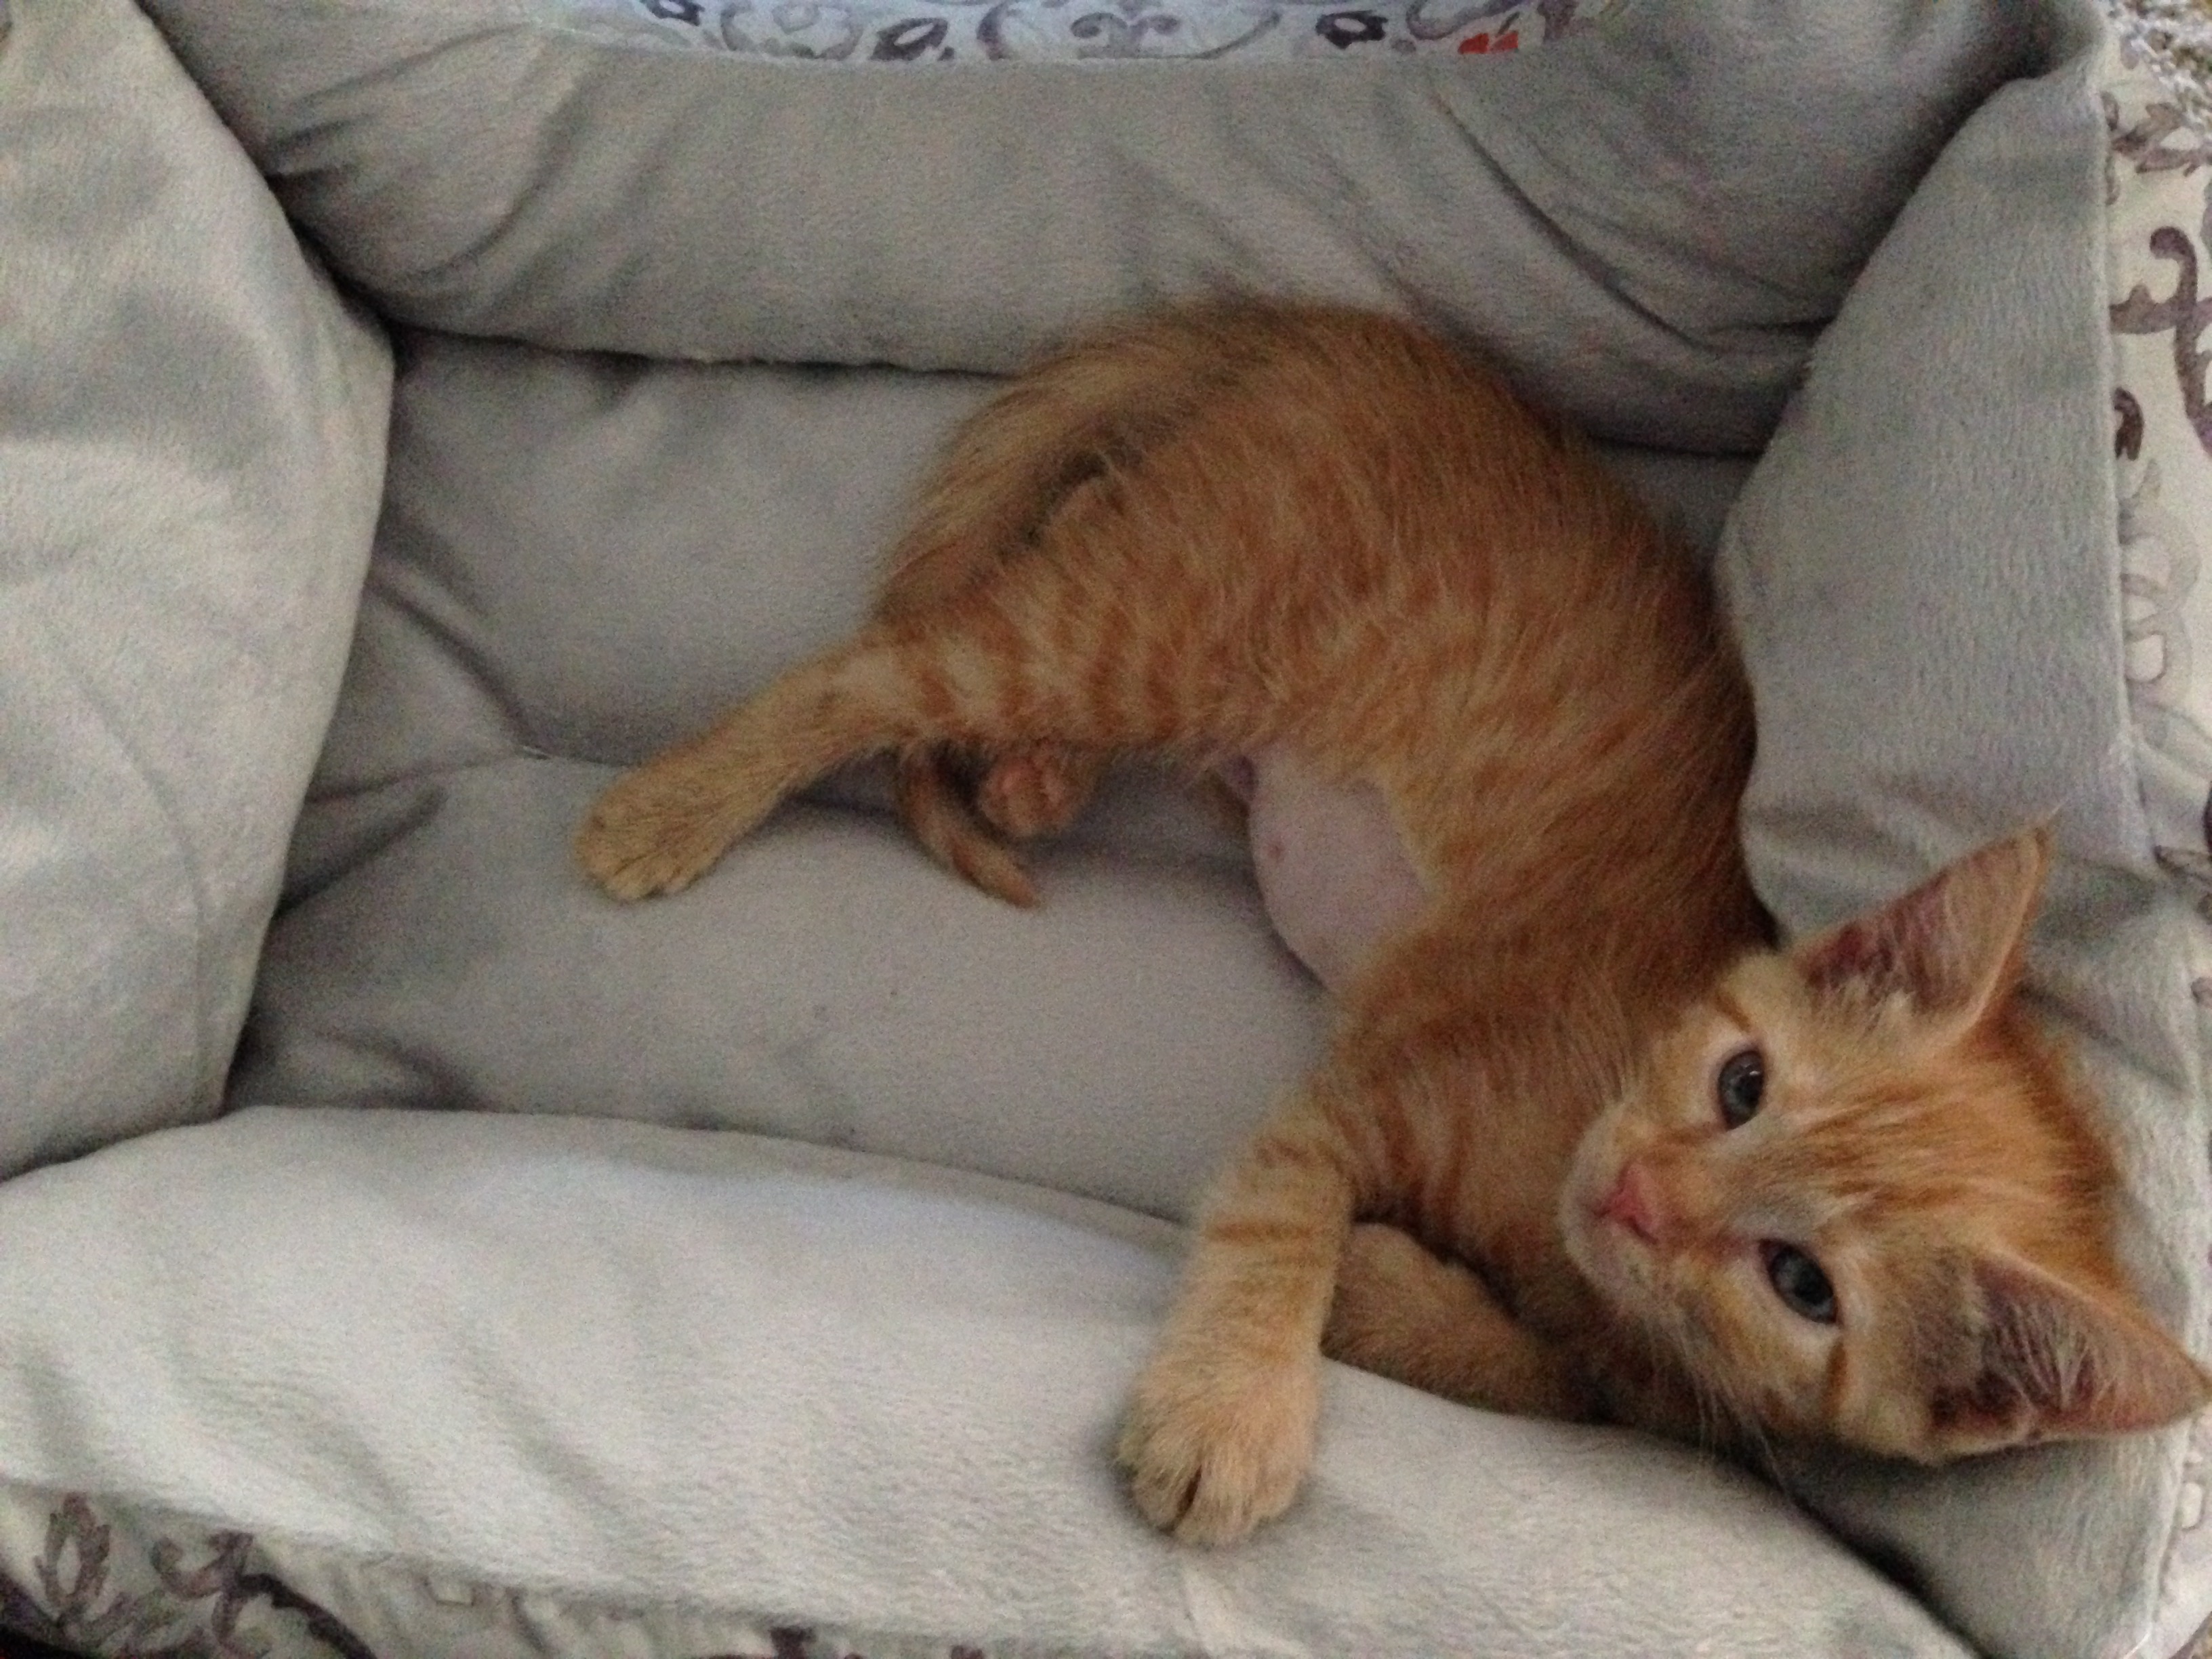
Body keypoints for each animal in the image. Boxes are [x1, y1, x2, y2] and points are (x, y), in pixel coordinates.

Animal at [573, 301, 2212, 1545]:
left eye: (1801, 1284)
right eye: (1742, 1083)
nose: (1639, 1196)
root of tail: (1351, 334)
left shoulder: (1629, 1375)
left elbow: (1550, 1375)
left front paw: (1388, 1293)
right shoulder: (1360, 1090)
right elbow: (1280, 1209)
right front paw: (1236, 1401)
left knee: (1066, 538)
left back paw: (1034, 775)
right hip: (1156, 622)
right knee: (878, 662)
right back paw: (674, 806)